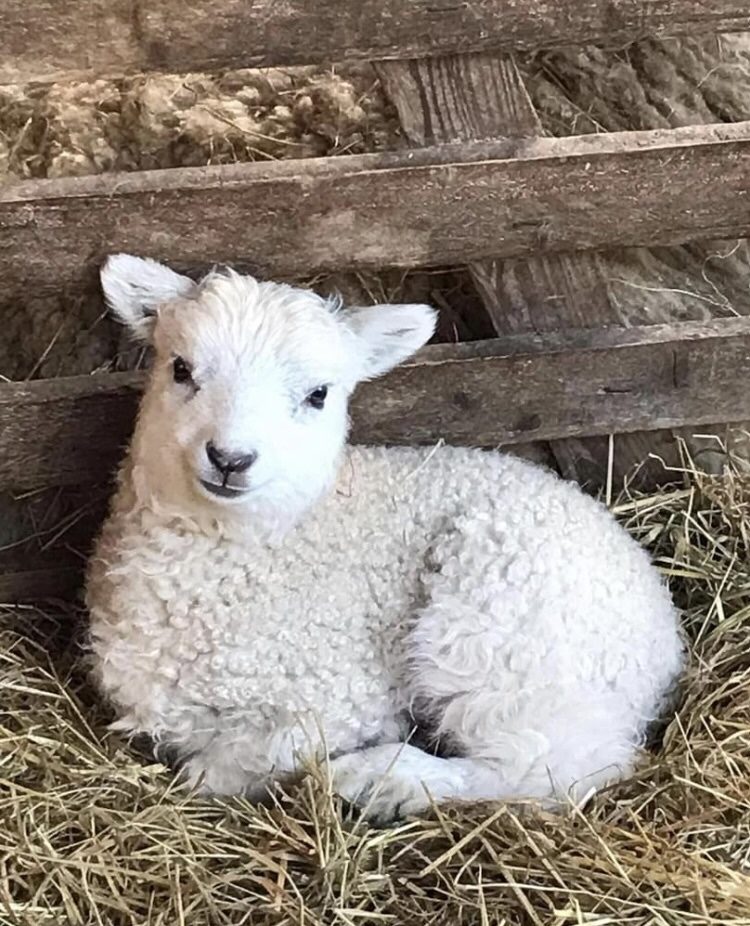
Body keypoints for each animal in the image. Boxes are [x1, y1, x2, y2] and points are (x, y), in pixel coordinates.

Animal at [86, 253, 684, 820]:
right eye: (180, 369)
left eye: (319, 395)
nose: (230, 458)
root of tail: (664, 631)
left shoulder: (346, 694)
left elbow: (253, 755)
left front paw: (222, 774)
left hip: (499, 628)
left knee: (552, 766)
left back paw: (381, 780)